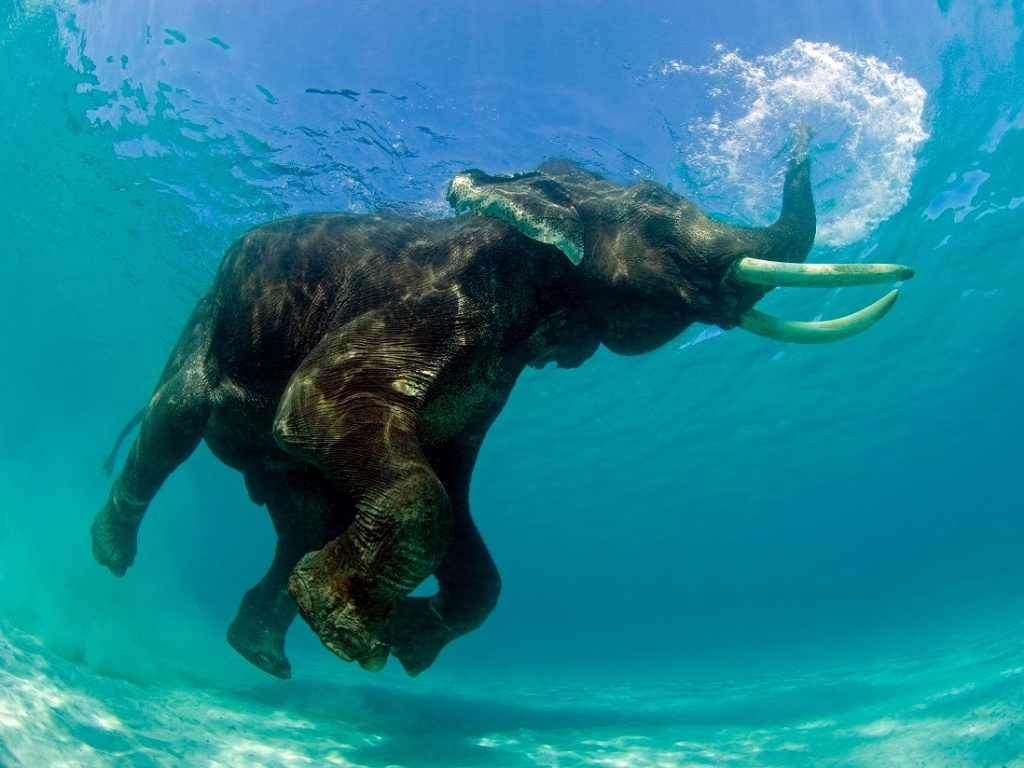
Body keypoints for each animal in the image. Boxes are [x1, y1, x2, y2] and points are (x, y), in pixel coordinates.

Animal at [91, 144, 913, 679]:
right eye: (657, 217)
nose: (805, 127)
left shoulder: (494, 376)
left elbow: (456, 501)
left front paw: (403, 641)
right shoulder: (429, 302)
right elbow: (320, 408)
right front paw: (356, 639)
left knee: (303, 517)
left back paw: (260, 653)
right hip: (206, 323)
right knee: (170, 429)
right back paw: (113, 557)